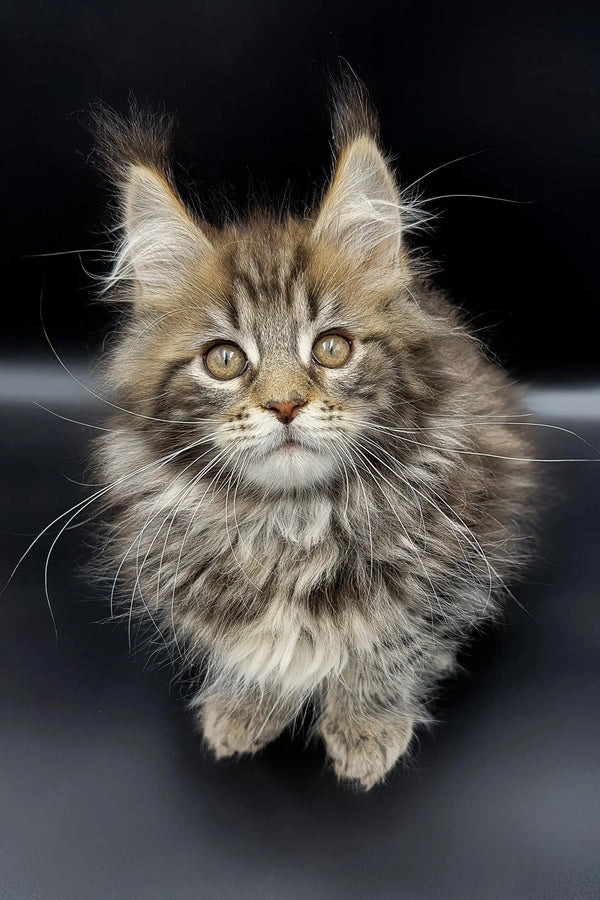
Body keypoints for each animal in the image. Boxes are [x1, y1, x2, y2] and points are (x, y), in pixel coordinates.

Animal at [92, 81, 540, 792]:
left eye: (332, 348)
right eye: (225, 359)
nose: (284, 404)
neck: (293, 527)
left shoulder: (453, 559)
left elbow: (391, 644)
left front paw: (365, 726)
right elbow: (250, 649)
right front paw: (247, 705)